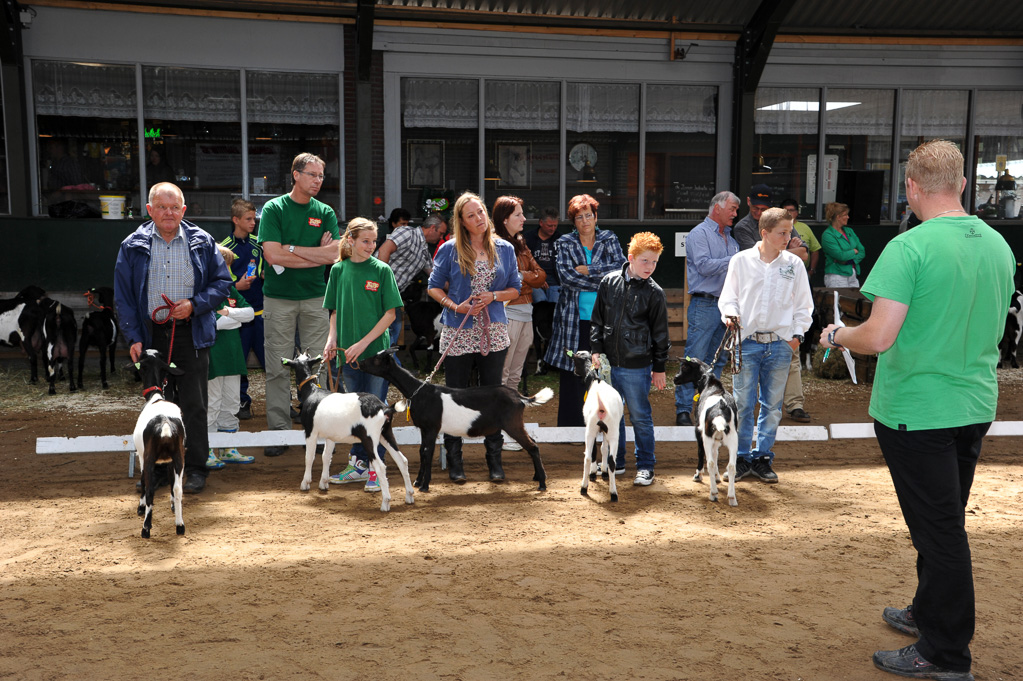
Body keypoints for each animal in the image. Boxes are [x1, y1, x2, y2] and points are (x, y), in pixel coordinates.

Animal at [132, 349, 187, 535]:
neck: (155, 397)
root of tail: (165, 425)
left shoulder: (142, 456)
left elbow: (144, 481)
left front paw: (141, 508)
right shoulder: (170, 461)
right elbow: (172, 484)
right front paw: (172, 505)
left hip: (150, 458)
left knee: (150, 488)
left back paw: (146, 528)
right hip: (179, 457)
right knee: (178, 489)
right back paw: (180, 525)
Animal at [280, 351, 415, 511]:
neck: (312, 390)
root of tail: (384, 408)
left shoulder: (310, 432)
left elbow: (309, 457)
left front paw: (305, 483)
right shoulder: (330, 436)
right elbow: (326, 457)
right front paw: (323, 483)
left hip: (370, 438)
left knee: (381, 466)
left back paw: (385, 503)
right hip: (386, 434)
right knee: (402, 460)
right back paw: (409, 496)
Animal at [360, 347, 552, 490]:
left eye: (376, 359)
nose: (359, 363)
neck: (419, 391)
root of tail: (519, 396)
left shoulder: (432, 428)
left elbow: (427, 453)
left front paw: (424, 486)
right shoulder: (424, 428)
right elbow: (422, 451)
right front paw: (418, 481)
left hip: (512, 423)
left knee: (533, 446)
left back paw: (542, 484)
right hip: (516, 423)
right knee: (533, 443)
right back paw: (536, 477)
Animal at [568, 349, 621, 498]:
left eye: (575, 361)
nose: (574, 372)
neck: (594, 381)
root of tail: (601, 406)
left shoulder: (593, 428)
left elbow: (595, 451)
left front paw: (593, 473)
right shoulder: (606, 431)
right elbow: (604, 449)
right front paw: (603, 472)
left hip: (590, 430)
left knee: (587, 457)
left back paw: (583, 487)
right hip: (614, 432)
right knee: (612, 461)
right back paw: (613, 493)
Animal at [675, 355, 740, 503]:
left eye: (684, 367)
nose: (675, 378)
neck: (710, 384)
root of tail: (720, 409)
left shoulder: (699, 432)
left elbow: (701, 453)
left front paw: (698, 475)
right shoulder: (716, 438)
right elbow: (716, 454)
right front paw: (717, 476)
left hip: (707, 437)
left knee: (709, 462)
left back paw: (713, 493)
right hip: (733, 438)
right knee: (731, 466)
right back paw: (732, 497)